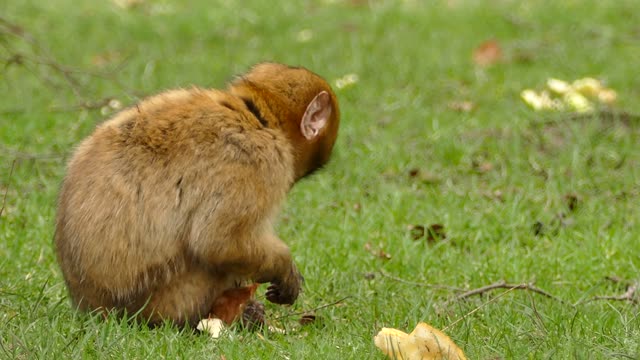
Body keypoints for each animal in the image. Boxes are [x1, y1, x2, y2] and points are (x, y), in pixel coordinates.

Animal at [55, 62, 340, 330]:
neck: (255, 116)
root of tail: (93, 308)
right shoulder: (257, 160)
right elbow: (218, 242)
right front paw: (284, 268)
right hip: (169, 299)